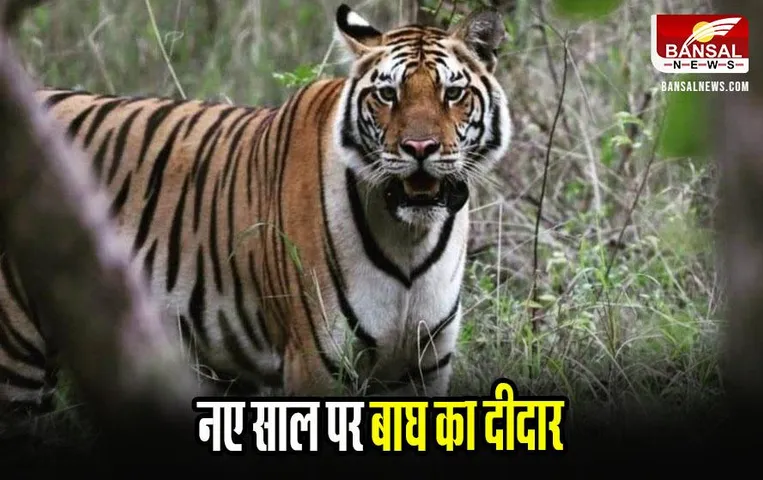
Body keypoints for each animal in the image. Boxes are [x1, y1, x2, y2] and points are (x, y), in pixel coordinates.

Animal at [0, 3, 512, 422]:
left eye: (452, 94)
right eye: (388, 95)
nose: (420, 149)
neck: (411, 238)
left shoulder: (422, 369)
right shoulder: (315, 367)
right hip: (16, 356)